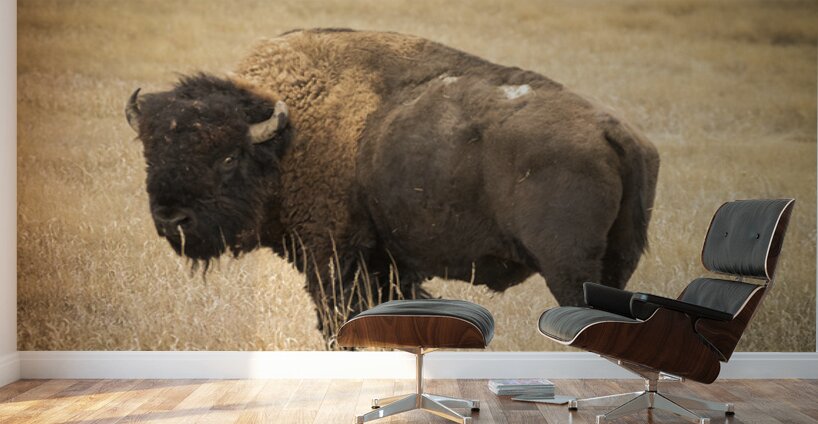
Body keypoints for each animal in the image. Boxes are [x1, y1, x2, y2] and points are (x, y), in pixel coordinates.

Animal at [125, 29, 659, 346]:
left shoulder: (332, 257)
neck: (289, 133)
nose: (172, 219)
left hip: (568, 270)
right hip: (617, 262)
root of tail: (613, 131)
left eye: (228, 157)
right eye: (151, 153)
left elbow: (341, 320)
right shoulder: (390, 262)